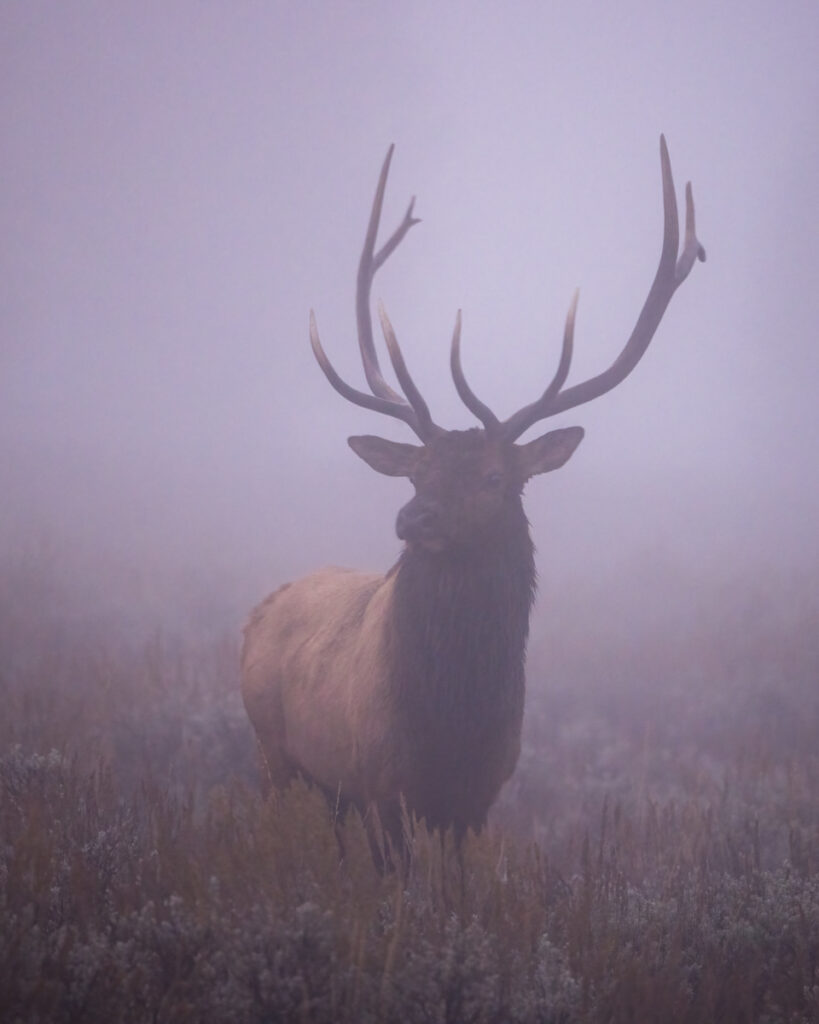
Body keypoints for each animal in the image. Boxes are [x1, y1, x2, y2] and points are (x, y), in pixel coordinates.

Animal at [241, 138, 704, 856]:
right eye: (415, 473)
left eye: (493, 478)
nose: (412, 516)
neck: (454, 720)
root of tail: (255, 615)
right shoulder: (383, 786)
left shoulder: (480, 795)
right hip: (275, 755)